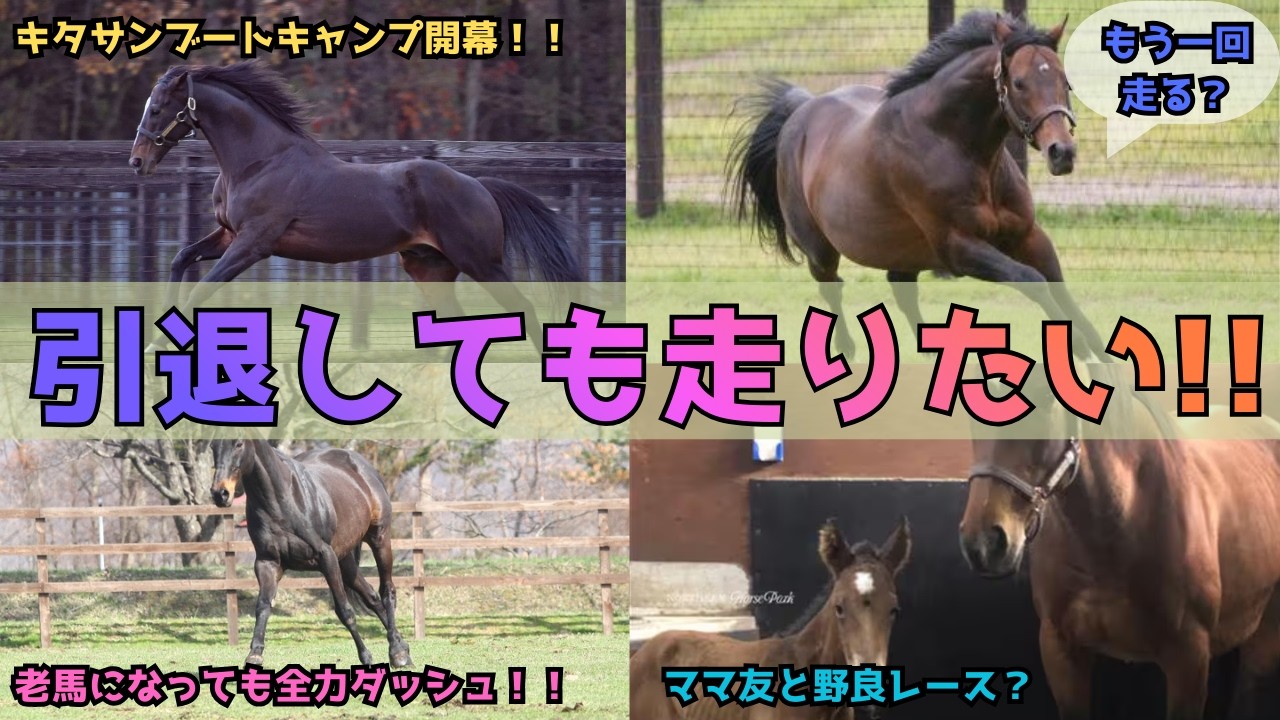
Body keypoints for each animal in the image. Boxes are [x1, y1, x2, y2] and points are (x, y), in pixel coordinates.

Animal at [129, 62, 582, 350]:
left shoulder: (253, 244)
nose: (137, 162)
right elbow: (181, 259)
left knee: (523, 309)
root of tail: (479, 187)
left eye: (158, 107)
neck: (260, 161)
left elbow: (201, 289)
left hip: (481, 263)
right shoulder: (227, 235)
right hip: (429, 268)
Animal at [210, 439, 413, 668]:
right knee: (371, 596)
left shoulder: (326, 558)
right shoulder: (267, 563)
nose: (220, 493)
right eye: (212, 446)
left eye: (238, 444)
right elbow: (263, 606)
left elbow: (344, 611)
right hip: (345, 560)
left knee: (387, 591)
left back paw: (398, 653)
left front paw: (366, 656)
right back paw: (402, 646)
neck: (282, 501)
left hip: (379, 539)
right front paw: (254, 654)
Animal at [728, 10, 1104, 361]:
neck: (951, 141)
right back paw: (845, 350)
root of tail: (800, 111)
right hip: (820, 251)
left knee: (901, 290)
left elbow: (1057, 284)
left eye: (1066, 81)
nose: (1062, 152)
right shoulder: (959, 249)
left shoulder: (1027, 235)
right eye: (1020, 82)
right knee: (832, 288)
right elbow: (1034, 281)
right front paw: (1075, 348)